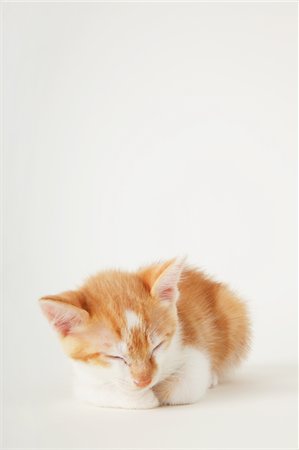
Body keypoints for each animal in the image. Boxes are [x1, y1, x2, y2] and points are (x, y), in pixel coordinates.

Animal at [39, 256, 251, 408]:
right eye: (115, 357)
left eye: (156, 347)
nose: (144, 381)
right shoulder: (83, 379)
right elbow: (100, 391)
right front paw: (143, 397)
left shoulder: (191, 341)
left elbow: (191, 381)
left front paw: (161, 392)